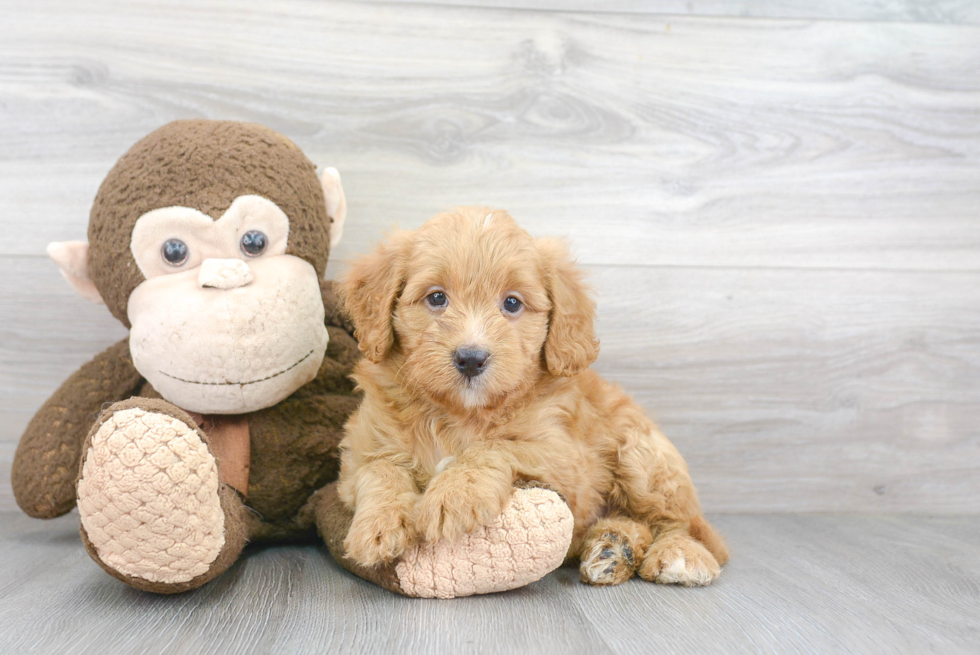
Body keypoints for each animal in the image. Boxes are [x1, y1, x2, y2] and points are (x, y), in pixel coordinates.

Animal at [336, 208, 728, 588]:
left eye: (512, 303)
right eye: (436, 297)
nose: (471, 358)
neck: (460, 414)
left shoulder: (568, 462)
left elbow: (496, 446)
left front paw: (456, 493)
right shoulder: (358, 454)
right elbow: (379, 469)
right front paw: (378, 525)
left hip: (642, 458)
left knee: (682, 526)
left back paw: (677, 555)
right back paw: (613, 548)